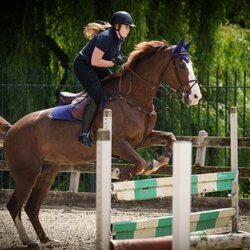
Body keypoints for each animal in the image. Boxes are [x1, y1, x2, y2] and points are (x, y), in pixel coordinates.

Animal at [0, 38, 202, 247]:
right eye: (181, 64)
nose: (196, 97)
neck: (133, 97)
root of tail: (13, 129)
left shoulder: (143, 139)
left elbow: (169, 137)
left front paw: (160, 161)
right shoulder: (119, 144)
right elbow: (140, 164)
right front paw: (119, 173)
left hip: (48, 171)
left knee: (31, 207)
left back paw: (46, 239)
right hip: (27, 173)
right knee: (14, 205)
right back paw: (28, 240)